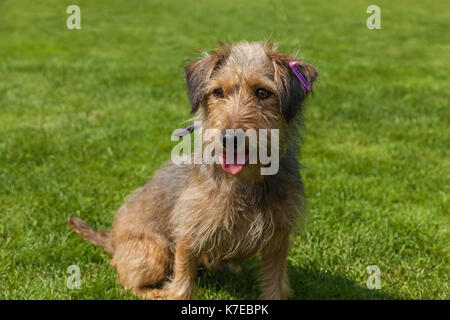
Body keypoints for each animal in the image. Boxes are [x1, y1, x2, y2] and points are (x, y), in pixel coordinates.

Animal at [69, 40, 316, 300]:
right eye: (218, 92)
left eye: (262, 92)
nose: (229, 138)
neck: (245, 180)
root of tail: (113, 241)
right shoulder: (188, 235)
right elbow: (182, 284)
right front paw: (174, 293)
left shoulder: (278, 239)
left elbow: (276, 285)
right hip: (156, 252)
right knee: (128, 283)